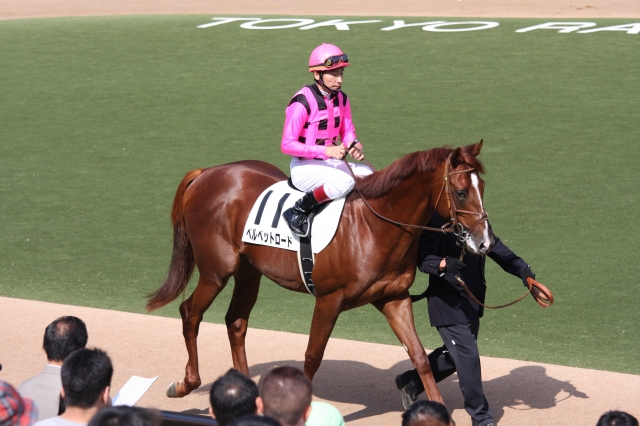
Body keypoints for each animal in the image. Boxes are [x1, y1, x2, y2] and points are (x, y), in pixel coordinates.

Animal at [146, 140, 493, 406]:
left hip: (248, 272)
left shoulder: (393, 297)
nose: (485, 242)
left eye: (483, 187)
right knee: (190, 312)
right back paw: (186, 383)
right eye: (461, 192)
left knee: (236, 322)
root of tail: (207, 173)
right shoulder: (329, 299)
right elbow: (313, 355)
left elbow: (419, 356)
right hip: (216, 272)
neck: (373, 226)